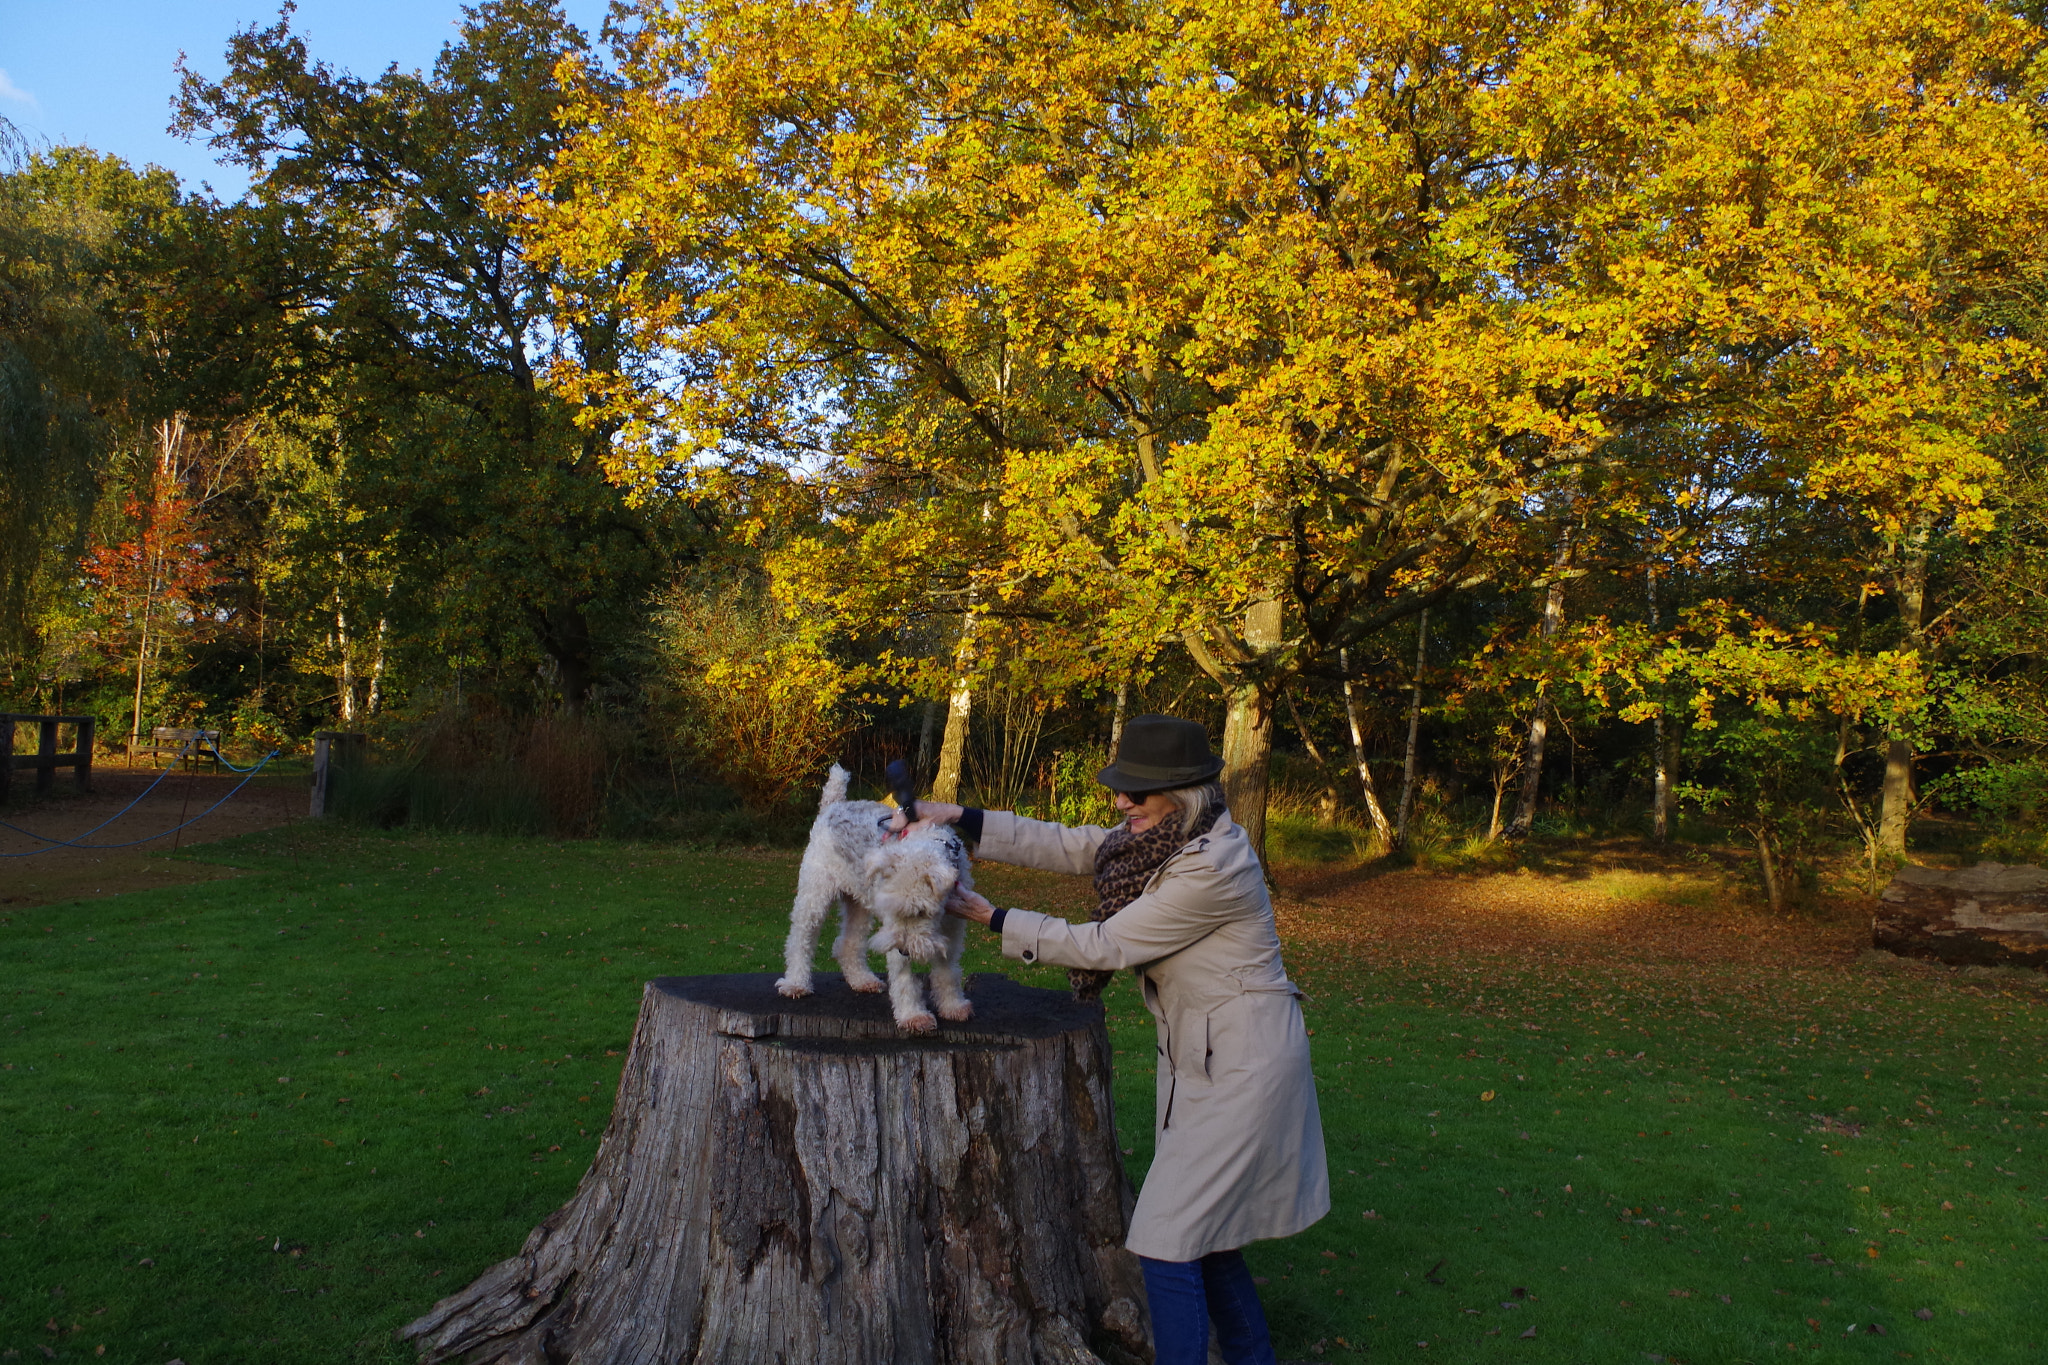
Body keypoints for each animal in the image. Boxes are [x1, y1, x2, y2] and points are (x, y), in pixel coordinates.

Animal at [778, 765, 978, 1031]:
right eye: (893, 911)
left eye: (921, 911)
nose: (905, 951)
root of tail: (834, 804)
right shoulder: (893, 935)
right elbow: (904, 980)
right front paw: (913, 1016)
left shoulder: (953, 932)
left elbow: (948, 973)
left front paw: (954, 1006)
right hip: (814, 896)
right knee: (799, 941)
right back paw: (796, 984)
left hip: (858, 905)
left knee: (847, 944)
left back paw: (863, 980)